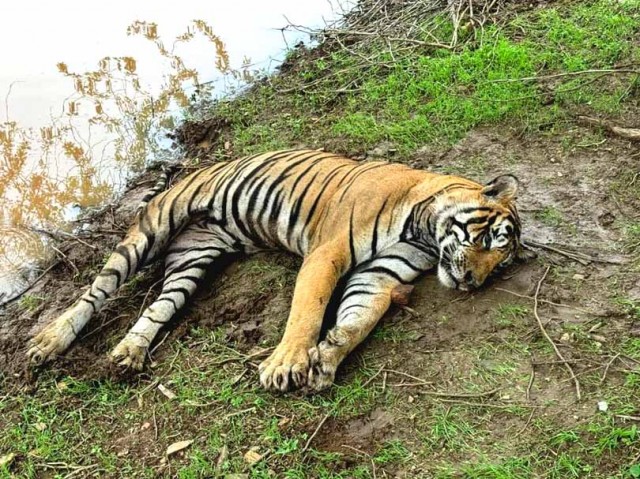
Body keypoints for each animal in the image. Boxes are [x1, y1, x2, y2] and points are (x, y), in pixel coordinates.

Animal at [26, 149, 529, 392]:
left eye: (499, 265)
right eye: (489, 239)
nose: (472, 282)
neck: (423, 231)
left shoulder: (381, 275)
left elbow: (359, 319)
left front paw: (328, 357)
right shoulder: (327, 253)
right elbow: (308, 309)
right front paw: (286, 364)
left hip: (191, 263)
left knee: (157, 308)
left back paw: (128, 354)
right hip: (152, 229)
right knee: (97, 289)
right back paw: (49, 340)